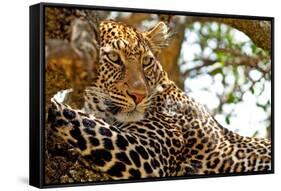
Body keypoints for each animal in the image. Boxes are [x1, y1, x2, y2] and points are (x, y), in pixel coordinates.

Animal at [47, 20, 270, 180]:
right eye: (114, 58)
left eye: (146, 61)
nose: (139, 95)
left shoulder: (146, 153)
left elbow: (83, 121)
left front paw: (52, 106)